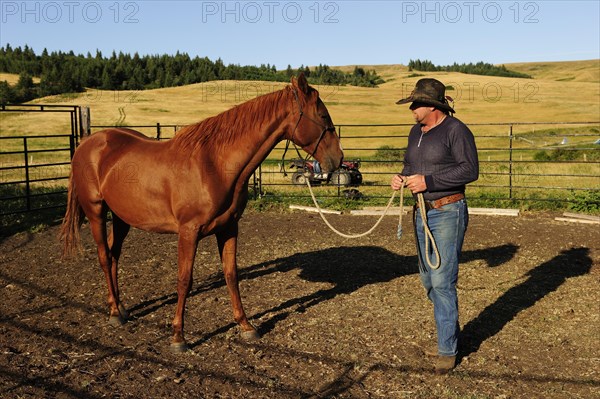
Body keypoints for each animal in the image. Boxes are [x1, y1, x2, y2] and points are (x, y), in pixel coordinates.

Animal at [61, 73, 344, 352]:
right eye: (322, 115)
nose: (338, 159)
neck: (214, 164)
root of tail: (88, 143)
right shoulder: (189, 231)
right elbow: (184, 279)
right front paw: (178, 336)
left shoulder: (229, 228)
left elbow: (231, 274)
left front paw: (245, 325)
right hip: (96, 211)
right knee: (104, 256)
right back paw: (114, 314)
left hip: (122, 217)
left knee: (114, 254)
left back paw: (120, 307)